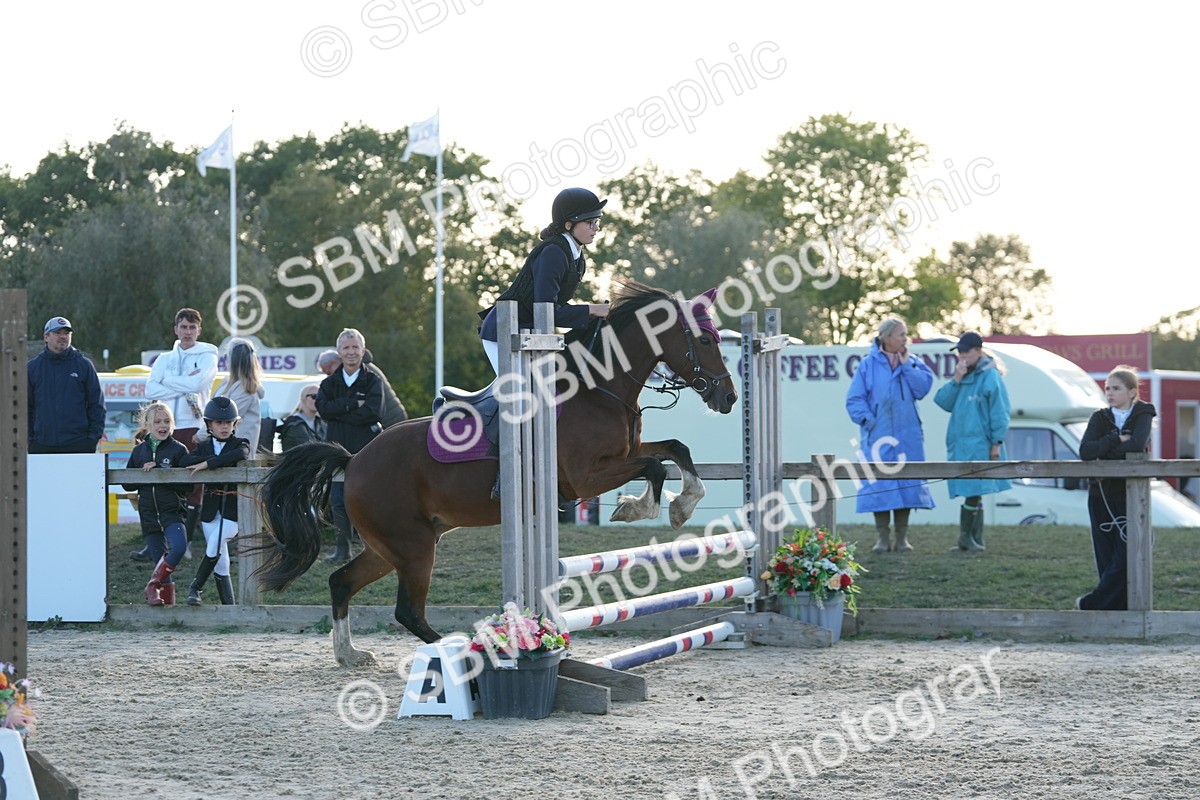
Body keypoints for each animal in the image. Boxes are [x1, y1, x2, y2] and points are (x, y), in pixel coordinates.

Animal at [254, 280, 738, 666]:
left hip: (394, 544)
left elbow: (675, 449)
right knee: (407, 611)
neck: (598, 388)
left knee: (341, 583)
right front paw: (641, 509)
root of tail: (353, 460)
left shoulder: (625, 453)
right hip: (412, 546)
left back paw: (350, 654)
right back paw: (476, 651)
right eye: (706, 341)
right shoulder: (586, 477)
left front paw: (684, 502)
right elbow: (655, 466)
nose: (729, 398)